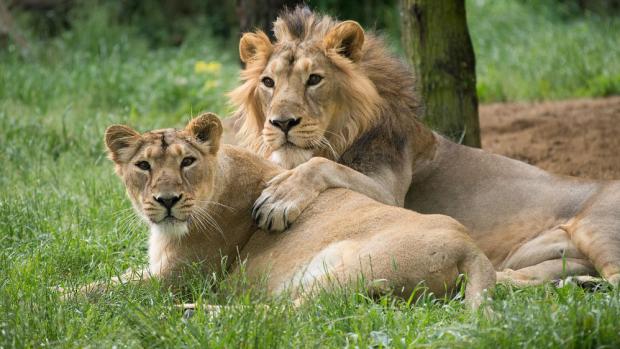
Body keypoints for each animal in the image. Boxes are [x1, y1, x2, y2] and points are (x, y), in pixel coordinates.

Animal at [100, 112, 494, 308]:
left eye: (187, 161)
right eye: (143, 166)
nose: (167, 200)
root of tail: (471, 249)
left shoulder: (178, 279)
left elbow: (99, 289)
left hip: (353, 271)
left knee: (285, 315)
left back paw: (194, 314)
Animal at [230, 6, 620, 286]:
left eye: (314, 79)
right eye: (268, 82)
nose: (281, 123)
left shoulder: (390, 200)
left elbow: (324, 166)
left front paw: (278, 200)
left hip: (597, 228)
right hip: (548, 257)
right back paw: (569, 284)